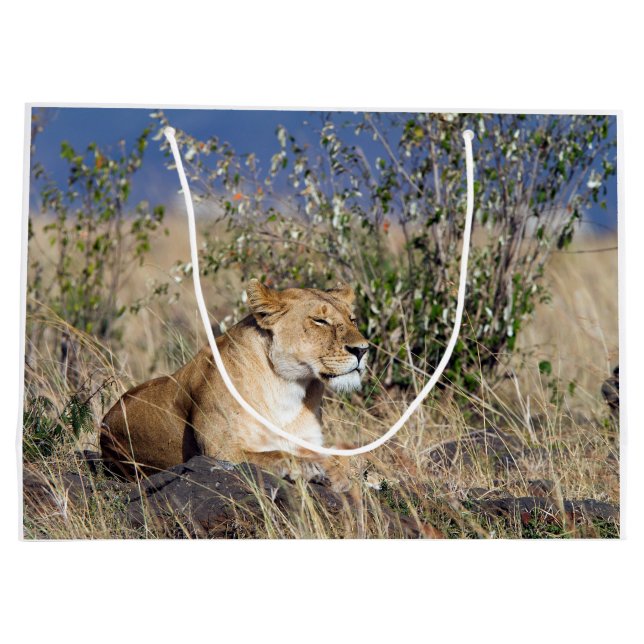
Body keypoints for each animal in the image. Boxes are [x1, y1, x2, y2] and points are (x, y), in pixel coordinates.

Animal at [100, 279, 369, 491]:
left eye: (352, 319)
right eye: (320, 320)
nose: (362, 350)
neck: (288, 387)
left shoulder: (309, 440)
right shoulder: (220, 452)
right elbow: (275, 455)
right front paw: (309, 468)